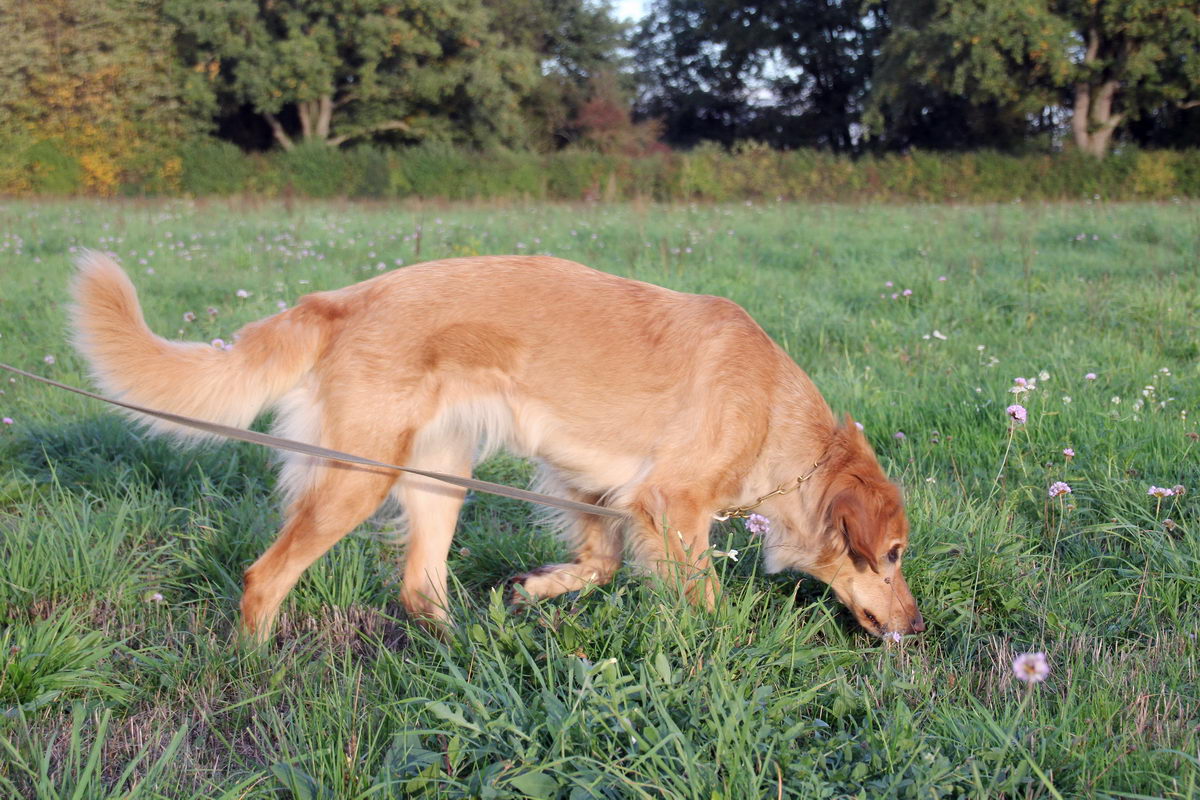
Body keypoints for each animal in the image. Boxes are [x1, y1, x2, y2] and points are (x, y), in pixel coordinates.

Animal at [70, 253, 921, 642]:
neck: (779, 417)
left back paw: (470, 647)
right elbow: (703, 598)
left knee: (420, 588)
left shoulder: (592, 482)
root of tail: (342, 300)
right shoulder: (672, 503)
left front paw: (535, 589)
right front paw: (721, 651)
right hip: (358, 481)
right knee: (263, 578)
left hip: (441, 476)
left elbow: (600, 560)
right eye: (893, 555)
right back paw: (251, 664)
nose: (917, 627)